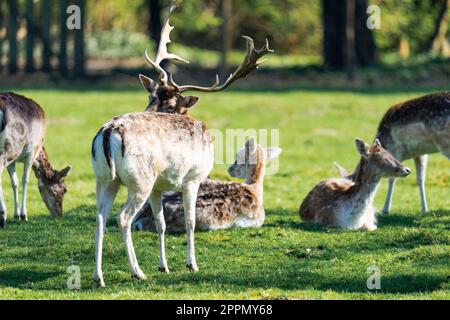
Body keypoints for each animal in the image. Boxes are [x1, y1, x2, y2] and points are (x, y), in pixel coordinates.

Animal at [0, 92, 71, 228]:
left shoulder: (13, 161)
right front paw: (23, 215)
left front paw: (16, 215)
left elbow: (15, 182)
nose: (60, 214)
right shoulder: (32, 152)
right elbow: (25, 180)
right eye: (65, 189)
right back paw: (3, 215)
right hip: (10, 146)